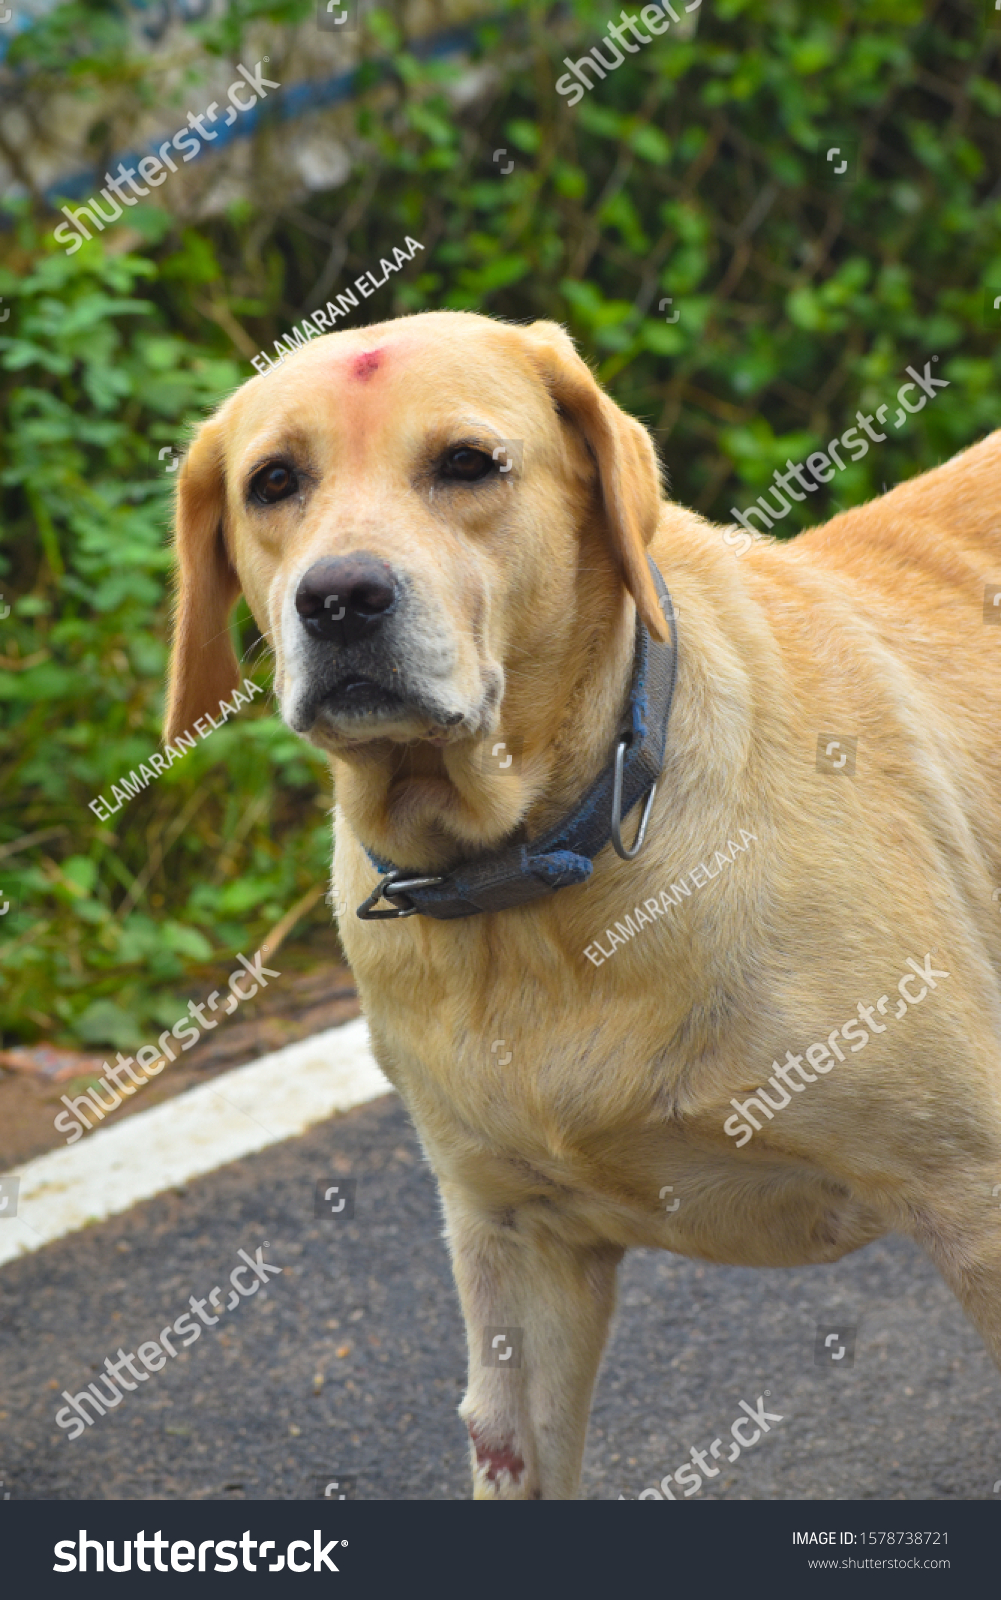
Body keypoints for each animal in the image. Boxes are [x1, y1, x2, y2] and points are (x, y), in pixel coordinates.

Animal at [167, 308, 997, 1497]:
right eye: (272, 482)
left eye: (467, 464)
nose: (339, 598)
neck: (527, 879)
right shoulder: (516, 1253)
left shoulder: (971, 1197)